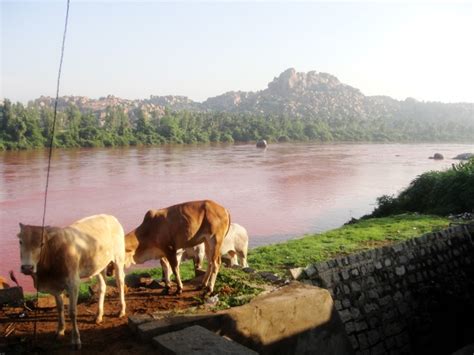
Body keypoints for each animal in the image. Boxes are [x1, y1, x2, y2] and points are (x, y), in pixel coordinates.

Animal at [17, 214, 127, 350]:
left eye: (42, 244)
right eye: (20, 241)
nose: (27, 267)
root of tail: (110, 217)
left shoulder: (73, 283)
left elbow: (72, 312)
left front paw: (76, 340)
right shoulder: (55, 287)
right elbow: (59, 308)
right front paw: (60, 331)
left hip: (118, 259)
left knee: (120, 282)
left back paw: (121, 311)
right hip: (99, 266)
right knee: (102, 286)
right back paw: (98, 315)